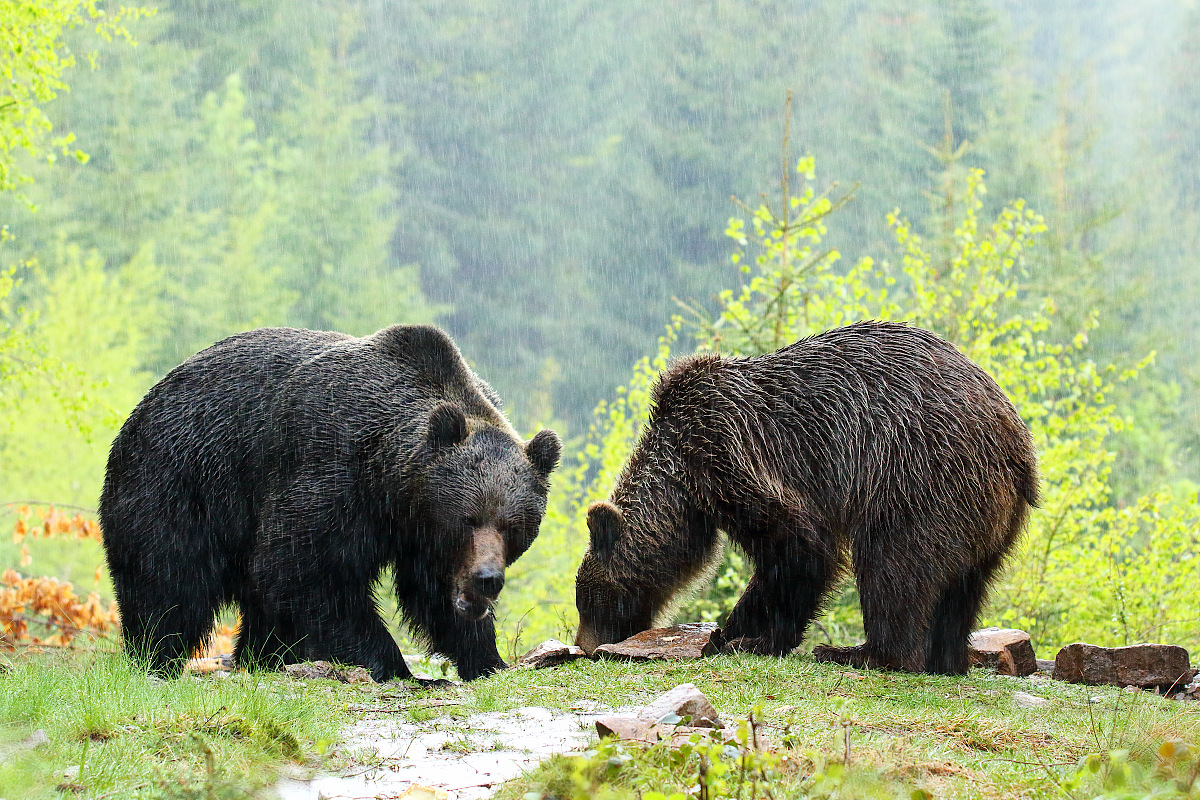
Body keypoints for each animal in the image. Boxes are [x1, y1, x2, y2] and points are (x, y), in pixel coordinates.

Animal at [99, 323, 561, 681]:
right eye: (468, 518)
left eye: (513, 526)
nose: (487, 578)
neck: (392, 487)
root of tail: (144, 403)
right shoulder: (332, 469)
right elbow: (308, 572)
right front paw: (394, 665)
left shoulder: (417, 532)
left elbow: (430, 591)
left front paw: (487, 659)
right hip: (179, 481)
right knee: (169, 581)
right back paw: (158, 658)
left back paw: (262, 657)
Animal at [576, 319, 1036, 676]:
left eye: (593, 600)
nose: (585, 645)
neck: (683, 479)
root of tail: (1016, 442)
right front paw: (737, 633)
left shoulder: (733, 455)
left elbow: (799, 549)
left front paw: (748, 636)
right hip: (984, 514)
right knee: (963, 587)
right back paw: (946, 658)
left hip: (918, 475)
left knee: (894, 565)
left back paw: (858, 652)